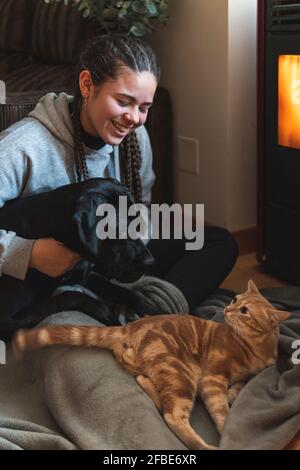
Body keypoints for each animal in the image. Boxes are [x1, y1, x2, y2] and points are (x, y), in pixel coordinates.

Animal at [0, 179, 155, 338]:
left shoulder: (84, 274)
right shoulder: (6, 319)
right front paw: (105, 310)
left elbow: (123, 291)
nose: (150, 263)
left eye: (138, 226)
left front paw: (150, 308)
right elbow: (69, 296)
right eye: (121, 232)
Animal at [12, 280, 290, 450]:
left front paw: (235, 391)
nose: (227, 309)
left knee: (146, 383)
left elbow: (244, 381)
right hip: (182, 375)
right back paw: (206, 446)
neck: (256, 349)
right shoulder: (212, 380)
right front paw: (227, 427)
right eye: (234, 300)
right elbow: (222, 412)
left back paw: (144, 379)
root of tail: (128, 326)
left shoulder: (254, 371)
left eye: (244, 310)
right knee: (172, 415)